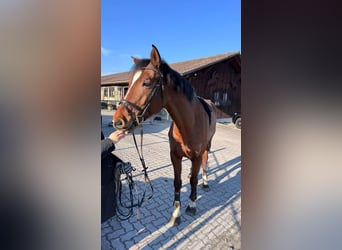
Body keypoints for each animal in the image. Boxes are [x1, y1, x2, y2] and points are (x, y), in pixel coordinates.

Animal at [113, 45, 216, 227]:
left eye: (146, 83)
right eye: (129, 84)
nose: (118, 121)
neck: (189, 123)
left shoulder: (196, 156)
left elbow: (193, 181)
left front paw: (191, 205)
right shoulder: (174, 156)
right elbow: (177, 182)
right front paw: (175, 214)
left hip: (207, 147)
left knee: (204, 162)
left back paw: (205, 182)